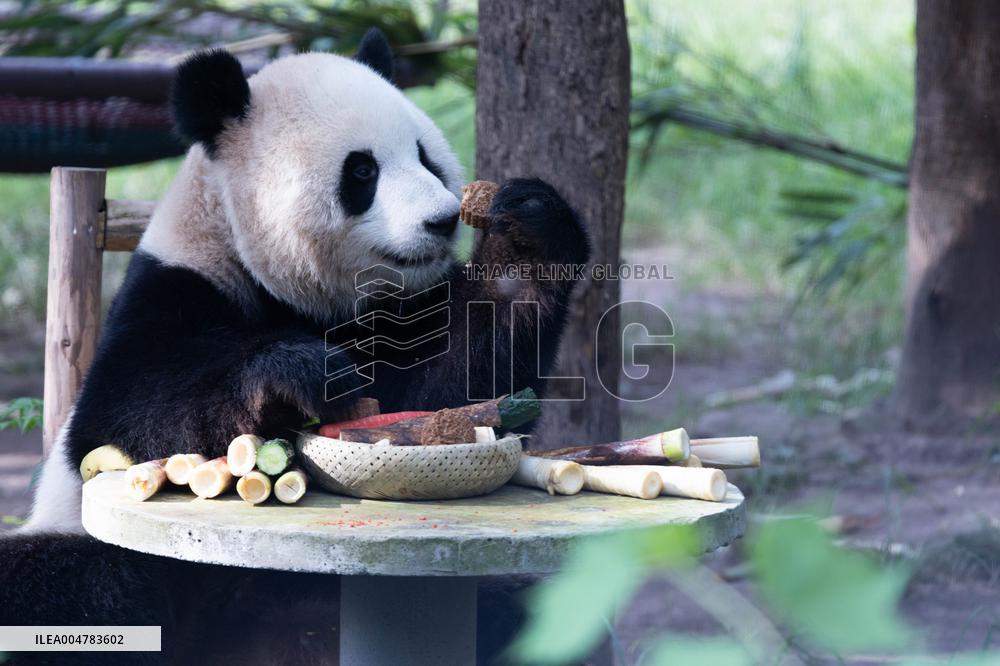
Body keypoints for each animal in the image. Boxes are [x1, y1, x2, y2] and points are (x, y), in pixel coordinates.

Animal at [1, 29, 589, 664]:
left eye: (425, 156)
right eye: (362, 171)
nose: (441, 221)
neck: (309, 300)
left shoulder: (400, 318)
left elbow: (451, 391)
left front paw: (526, 238)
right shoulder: (177, 288)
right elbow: (123, 412)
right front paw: (294, 377)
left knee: (528, 613)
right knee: (70, 585)